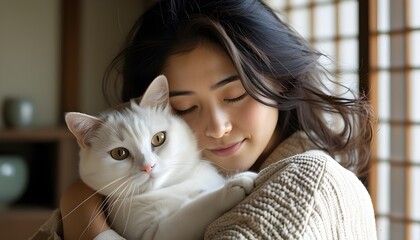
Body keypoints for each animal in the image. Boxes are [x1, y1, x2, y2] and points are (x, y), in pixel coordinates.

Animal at [64, 75, 258, 240]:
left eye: (158, 138)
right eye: (119, 153)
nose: (148, 166)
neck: (169, 187)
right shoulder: (151, 232)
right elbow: (194, 209)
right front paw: (231, 187)